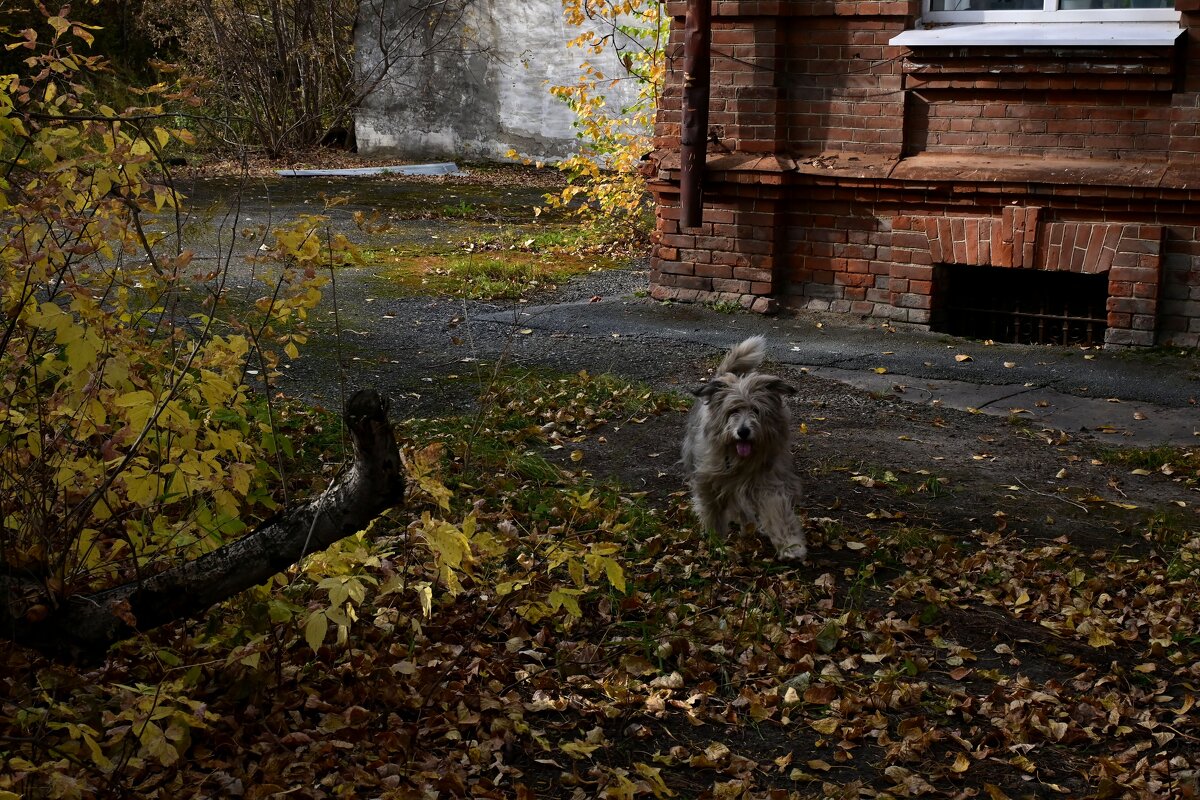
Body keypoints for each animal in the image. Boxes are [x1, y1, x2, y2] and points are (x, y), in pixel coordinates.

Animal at [681, 335, 811, 561]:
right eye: (733, 410)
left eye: (756, 410)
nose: (743, 431)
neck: (739, 460)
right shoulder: (708, 478)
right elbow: (711, 507)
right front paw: (715, 536)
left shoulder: (768, 481)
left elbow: (777, 510)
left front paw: (791, 546)